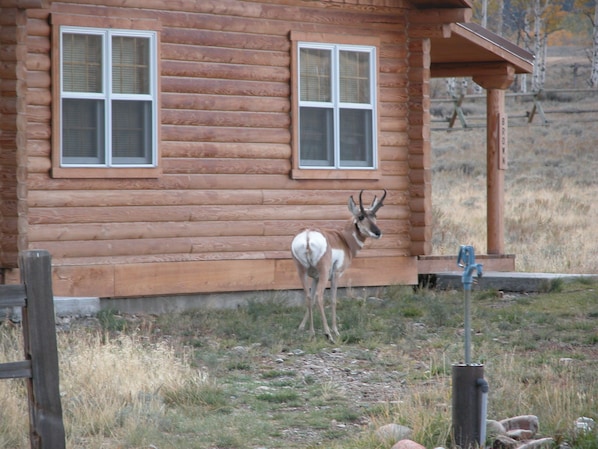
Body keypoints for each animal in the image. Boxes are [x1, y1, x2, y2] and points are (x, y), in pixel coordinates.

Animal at [292, 190, 390, 344]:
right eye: (361, 216)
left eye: (375, 215)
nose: (378, 233)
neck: (344, 240)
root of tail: (308, 235)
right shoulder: (336, 274)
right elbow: (333, 300)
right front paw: (335, 331)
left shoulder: (315, 278)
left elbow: (311, 299)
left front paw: (302, 328)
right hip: (324, 273)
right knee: (320, 296)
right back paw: (328, 334)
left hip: (302, 272)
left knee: (308, 296)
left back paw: (312, 333)